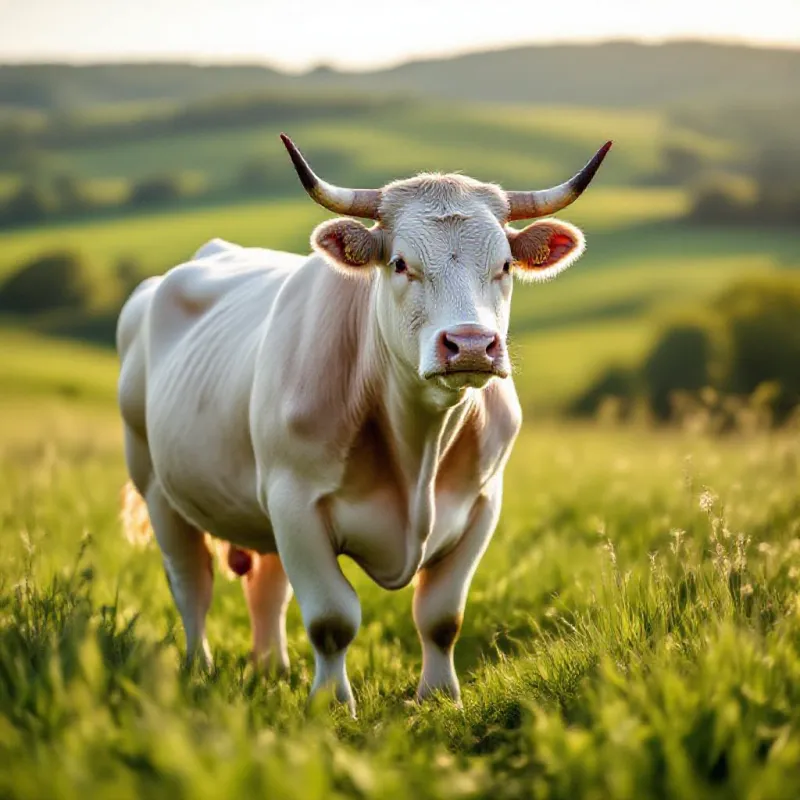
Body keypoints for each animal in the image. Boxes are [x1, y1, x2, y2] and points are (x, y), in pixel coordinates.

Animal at [117, 134, 611, 713]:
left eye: (506, 265)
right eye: (399, 263)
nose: (470, 344)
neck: (419, 448)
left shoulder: (483, 504)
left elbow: (441, 617)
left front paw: (439, 697)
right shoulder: (295, 503)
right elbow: (332, 620)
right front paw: (331, 705)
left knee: (266, 590)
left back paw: (272, 669)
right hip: (157, 488)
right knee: (191, 584)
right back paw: (200, 669)